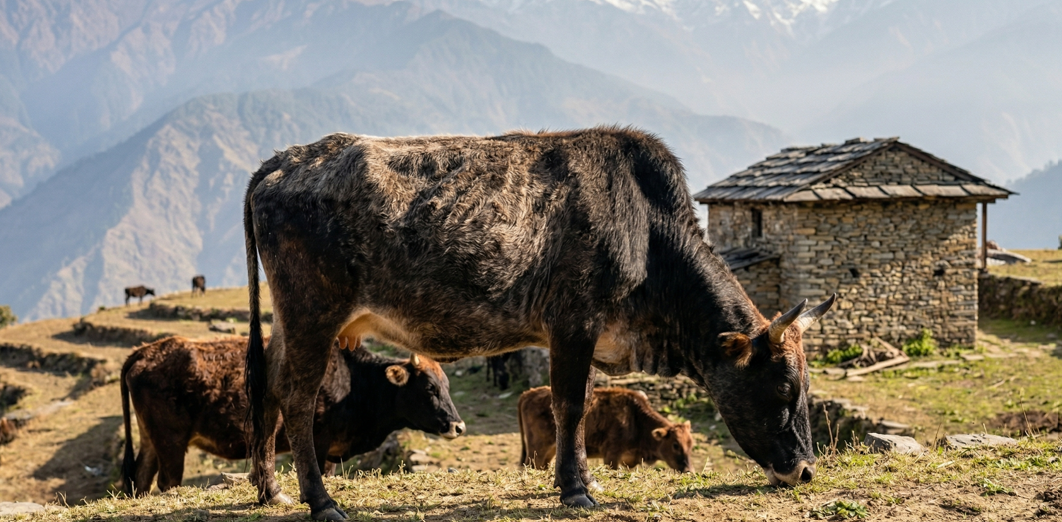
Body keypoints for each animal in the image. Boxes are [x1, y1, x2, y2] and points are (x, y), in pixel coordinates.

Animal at [119, 335, 463, 496]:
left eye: (447, 385)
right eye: (430, 388)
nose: (458, 426)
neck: (354, 380)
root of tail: (146, 350)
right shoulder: (319, 443)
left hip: (151, 440)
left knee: (141, 479)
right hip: (171, 442)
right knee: (166, 482)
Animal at [518, 387, 694, 472]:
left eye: (691, 444)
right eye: (675, 445)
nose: (688, 470)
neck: (635, 418)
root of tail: (528, 393)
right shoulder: (611, 455)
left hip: (549, 451)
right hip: (536, 450)